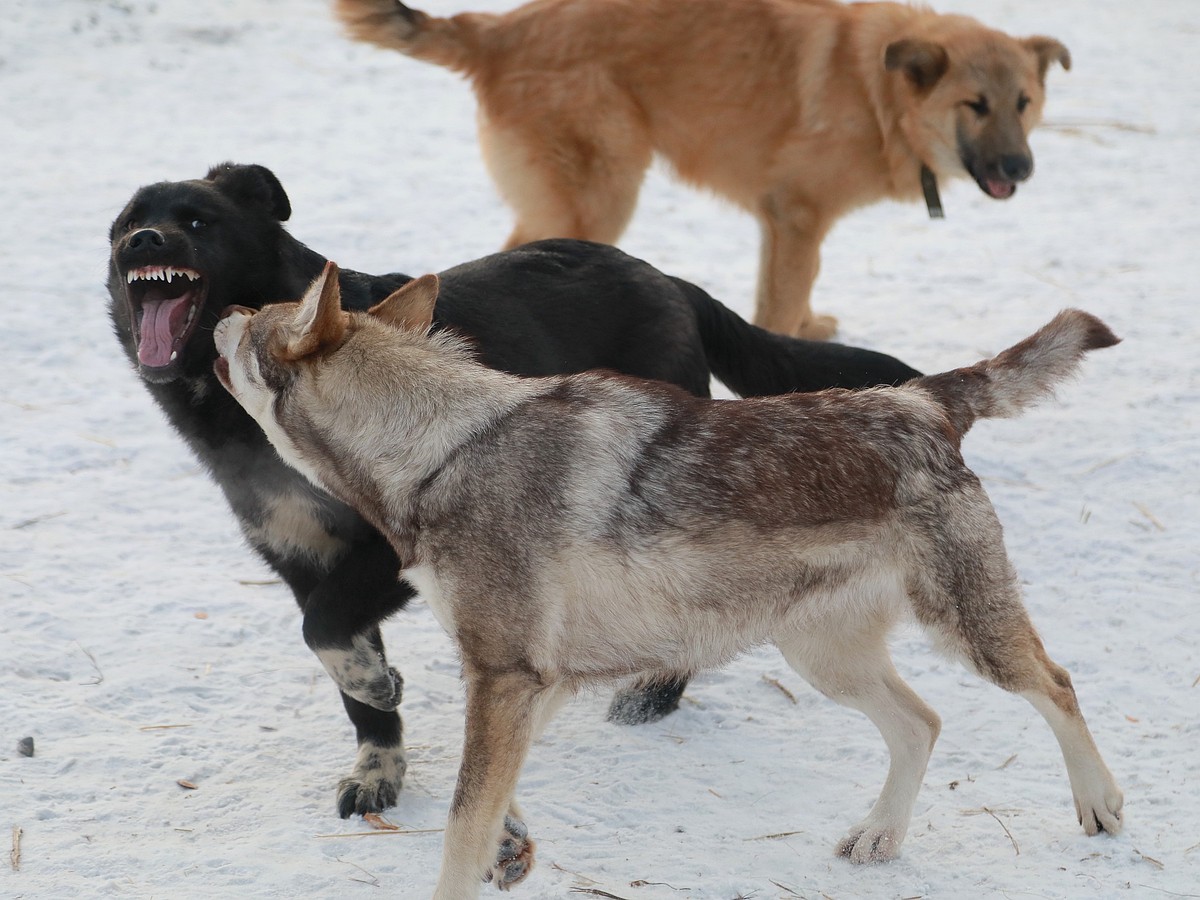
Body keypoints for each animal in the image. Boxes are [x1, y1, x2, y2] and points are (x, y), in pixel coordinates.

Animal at [110, 160, 916, 816]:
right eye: (124, 223)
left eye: (197, 220)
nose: (143, 242)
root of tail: (663, 278)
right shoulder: (301, 559)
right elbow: (339, 661)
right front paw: (377, 762)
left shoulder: (390, 551)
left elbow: (326, 628)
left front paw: (378, 685)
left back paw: (655, 692)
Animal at [218, 262, 1123, 900]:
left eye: (259, 321)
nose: (223, 314)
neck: (442, 449)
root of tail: (921, 400)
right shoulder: (533, 682)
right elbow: (494, 803)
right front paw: (513, 849)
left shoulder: (505, 675)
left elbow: (459, 827)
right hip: (825, 660)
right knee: (923, 724)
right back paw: (879, 838)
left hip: (966, 633)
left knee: (1058, 684)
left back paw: (1101, 806)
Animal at [336, 0, 1070, 340]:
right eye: (975, 105)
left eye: (1024, 102)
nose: (1021, 167)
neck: (878, 92)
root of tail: (495, 30)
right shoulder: (797, 214)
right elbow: (782, 299)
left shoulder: (787, 225)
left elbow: (795, 291)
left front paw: (808, 330)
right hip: (601, 196)